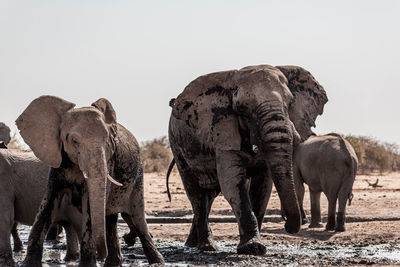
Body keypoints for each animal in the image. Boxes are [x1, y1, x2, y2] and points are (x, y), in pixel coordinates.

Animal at [15, 96, 162, 267]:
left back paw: (158, 261)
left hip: (138, 174)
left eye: (108, 141)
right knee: (110, 218)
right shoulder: (58, 162)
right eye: (74, 141)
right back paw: (114, 262)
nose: (100, 255)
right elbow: (47, 204)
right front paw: (28, 263)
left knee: (136, 217)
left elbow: (90, 206)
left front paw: (88, 264)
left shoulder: (109, 160)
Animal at [169, 64, 328, 255]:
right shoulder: (223, 132)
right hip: (176, 144)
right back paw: (207, 247)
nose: (288, 226)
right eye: (243, 108)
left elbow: (263, 188)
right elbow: (233, 185)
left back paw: (193, 244)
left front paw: (255, 246)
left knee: (209, 194)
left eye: (290, 103)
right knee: (196, 194)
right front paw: (253, 248)